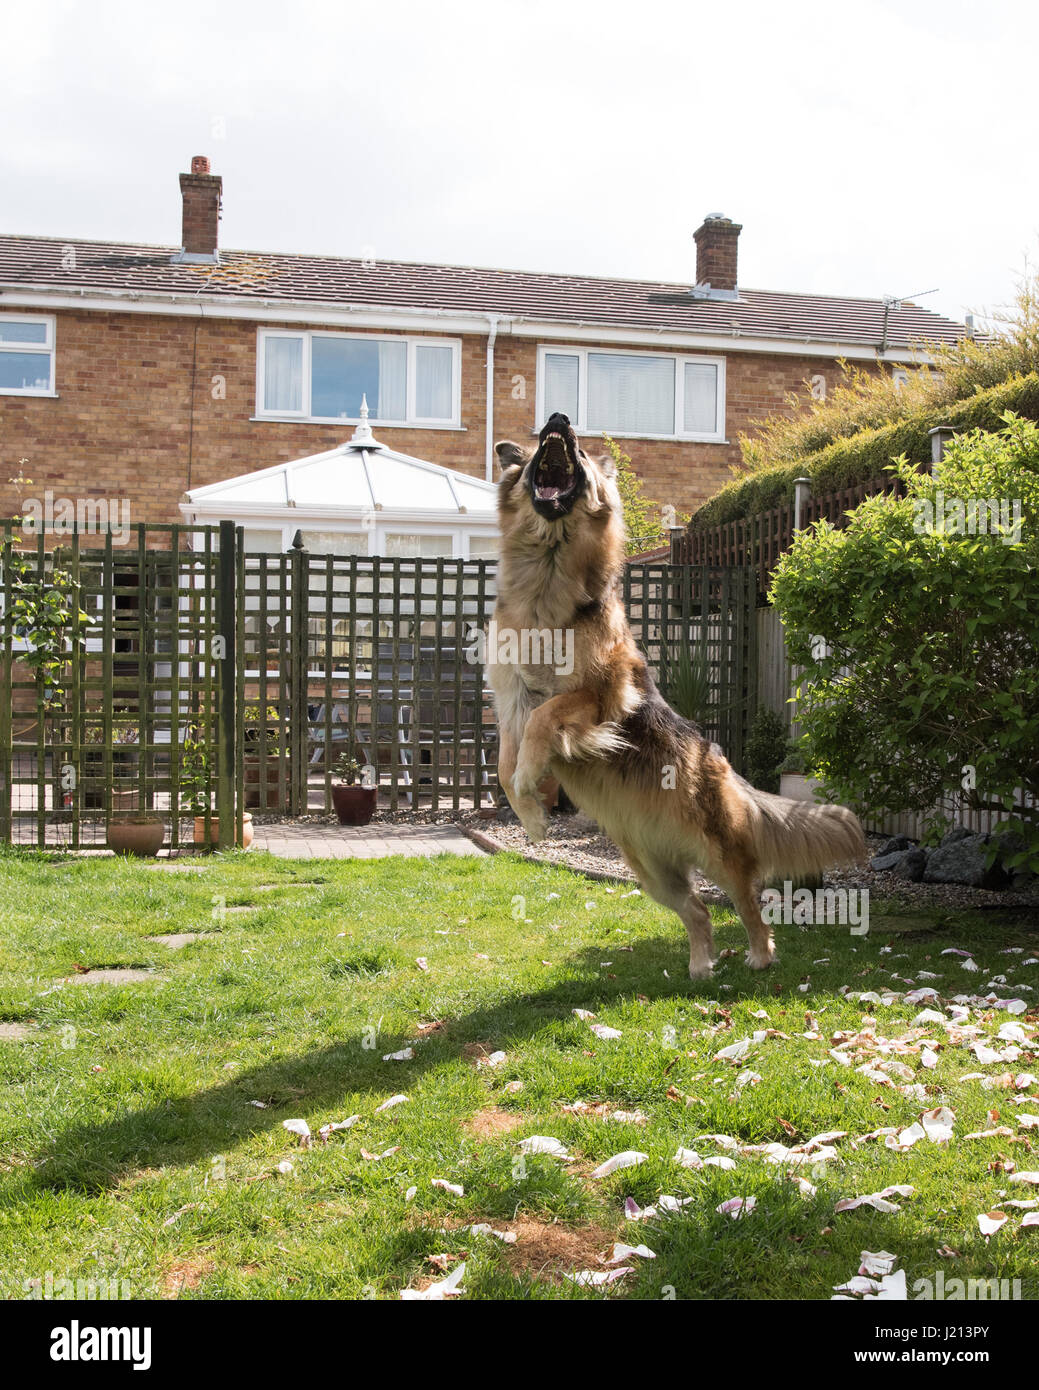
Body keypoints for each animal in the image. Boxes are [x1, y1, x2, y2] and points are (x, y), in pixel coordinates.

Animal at [492, 408, 867, 978]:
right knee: (698, 910)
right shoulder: (511, 703)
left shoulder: (601, 696)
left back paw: (760, 957)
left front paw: (534, 794)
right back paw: (700, 967)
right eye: (542, 448)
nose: (559, 418)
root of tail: (727, 767)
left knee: (749, 903)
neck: (547, 581)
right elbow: (503, 765)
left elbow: (543, 723)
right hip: (650, 872)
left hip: (719, 854)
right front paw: (531, 812)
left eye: (581, 454)